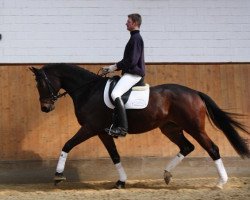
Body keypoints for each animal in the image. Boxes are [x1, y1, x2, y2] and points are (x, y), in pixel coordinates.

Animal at [29, 63, 250, 189]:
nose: (45, 108)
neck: (88, 91)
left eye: (40, 84)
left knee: (212, 148)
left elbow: (66, 145)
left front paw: (58, 176)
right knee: (187, 147)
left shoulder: (90, 128)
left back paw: (220, 183)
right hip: (170, 128)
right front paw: (121, 181)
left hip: (194, 127)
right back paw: (167, 174)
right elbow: (115, 156)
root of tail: (195, 92)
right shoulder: (102, 132)